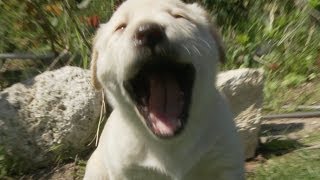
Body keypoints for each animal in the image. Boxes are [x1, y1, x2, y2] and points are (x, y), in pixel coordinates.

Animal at [84, 0, 244, 179]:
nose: (148, 32)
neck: (169, 143)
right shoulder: (125, 171)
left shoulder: (226, 164)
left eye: (179, 16)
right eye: (121, 27)